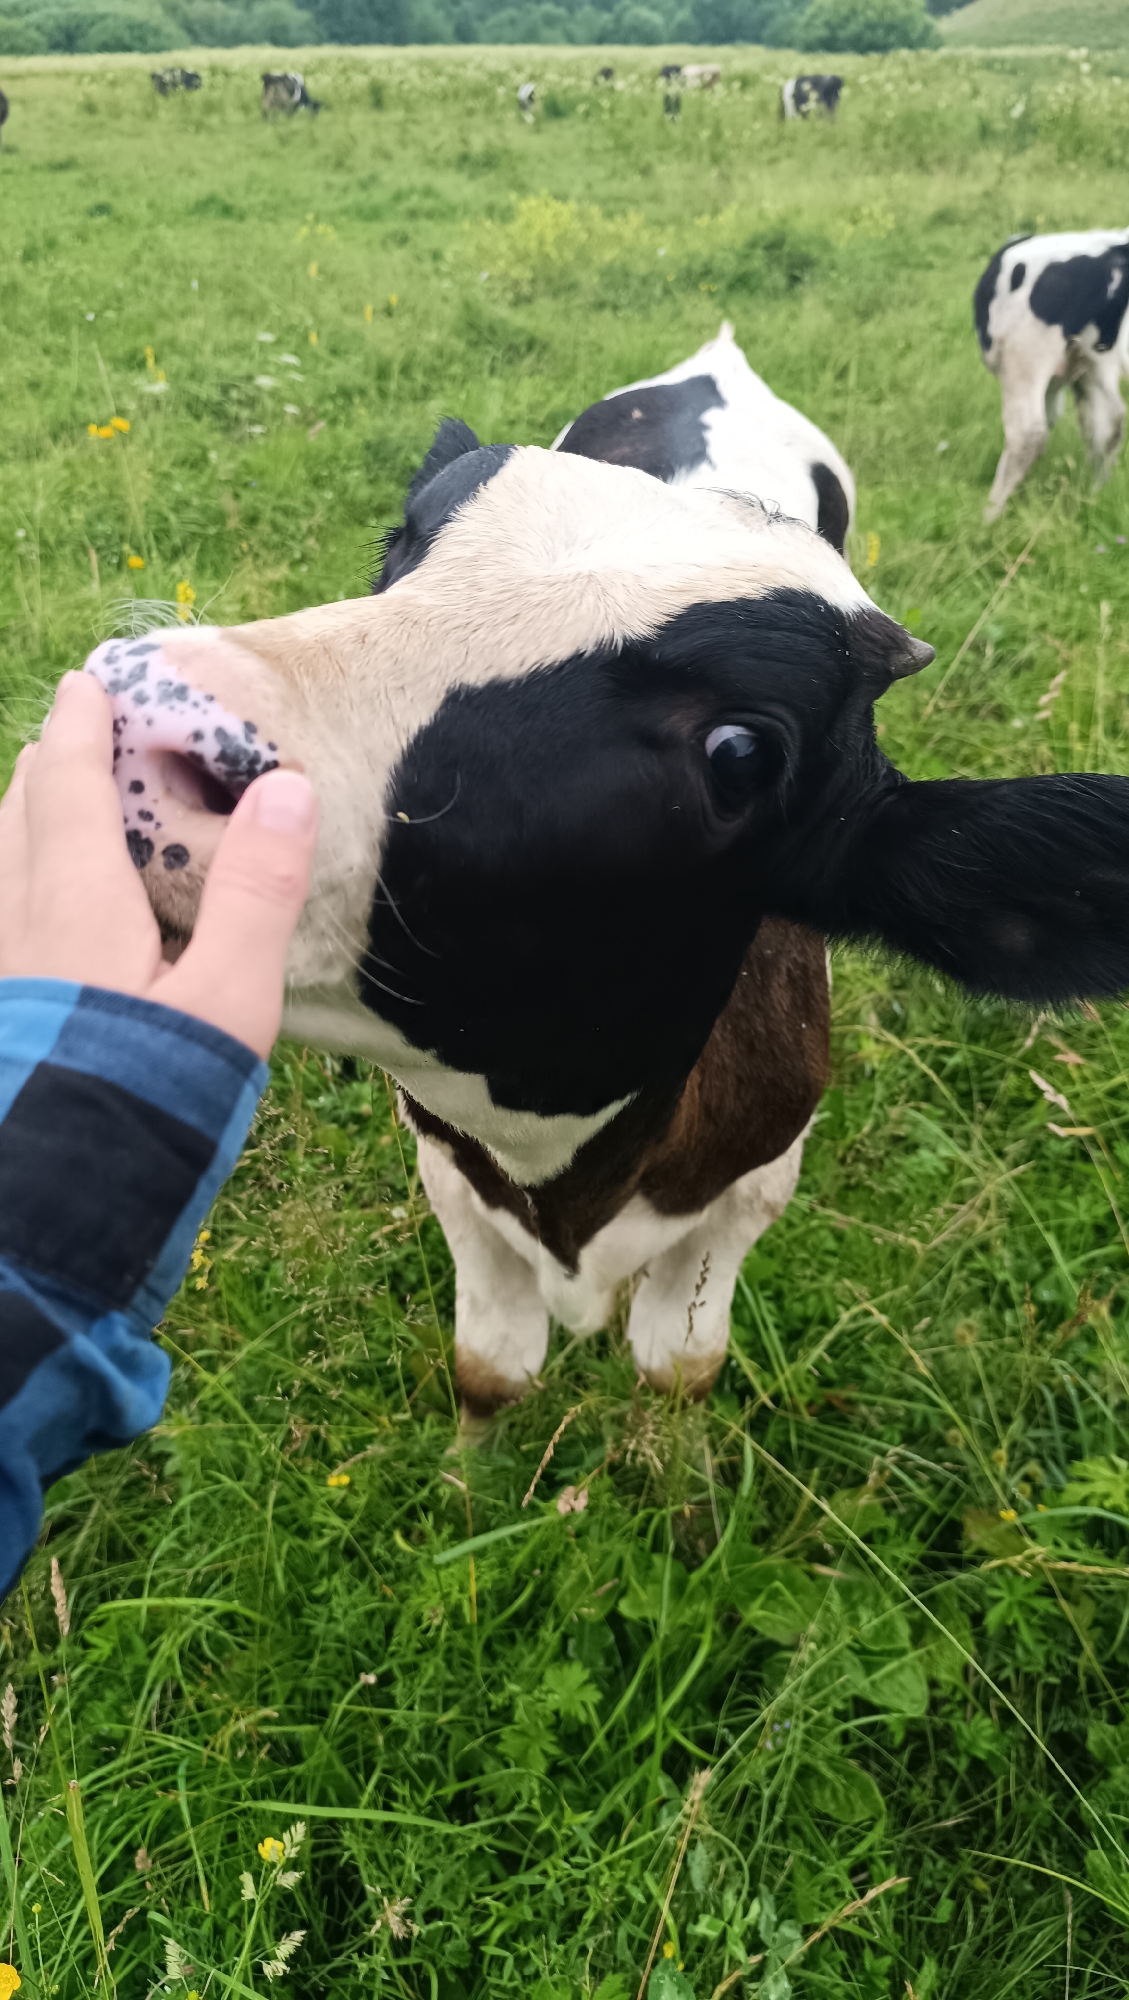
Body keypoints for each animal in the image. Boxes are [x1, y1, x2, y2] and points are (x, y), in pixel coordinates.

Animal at [83, 431, 1129, 1424]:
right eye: (398, 547)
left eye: (741, 753)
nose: (143, 711)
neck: (560, 1172)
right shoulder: (449, 1173)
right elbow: (491, 1369)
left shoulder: (752, 1190)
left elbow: (678, 1369)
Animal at [975, 228, 1129, 521]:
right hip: (1098, 358)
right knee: (1110, 423)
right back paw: (1095, 494)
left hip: (1023, 356)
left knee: (1028, 435)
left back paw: (989, 514)